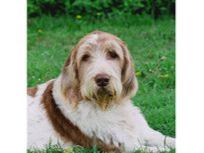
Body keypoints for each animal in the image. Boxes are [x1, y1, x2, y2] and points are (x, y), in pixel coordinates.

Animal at [27, 30, 175, 152]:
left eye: (113, 54)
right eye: (85, 57)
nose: (102, 79)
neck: (108, 105)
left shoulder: (145, 132)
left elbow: (167, 139)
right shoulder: (121, 145)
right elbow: (159, 149)